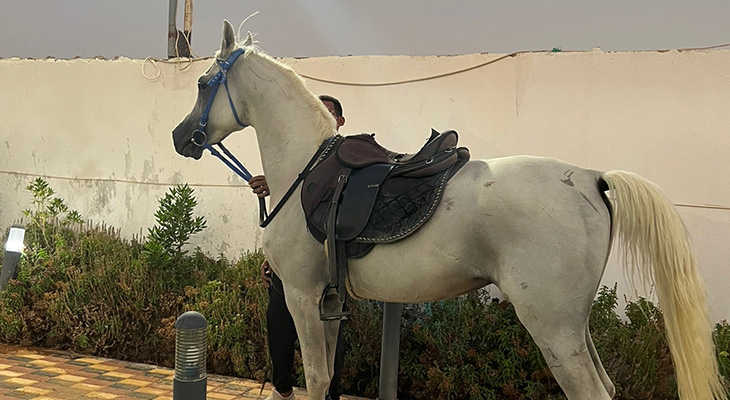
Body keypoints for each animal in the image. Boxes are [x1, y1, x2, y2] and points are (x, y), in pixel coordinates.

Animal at [172, 20, 726, 400]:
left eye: (201, 84)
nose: (181, 137)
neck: (308, 169)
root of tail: (592, 177)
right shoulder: (329, 303)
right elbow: (327, 379)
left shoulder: (303, 298)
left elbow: (316, 377)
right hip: (575, 324)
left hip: (552, 327)